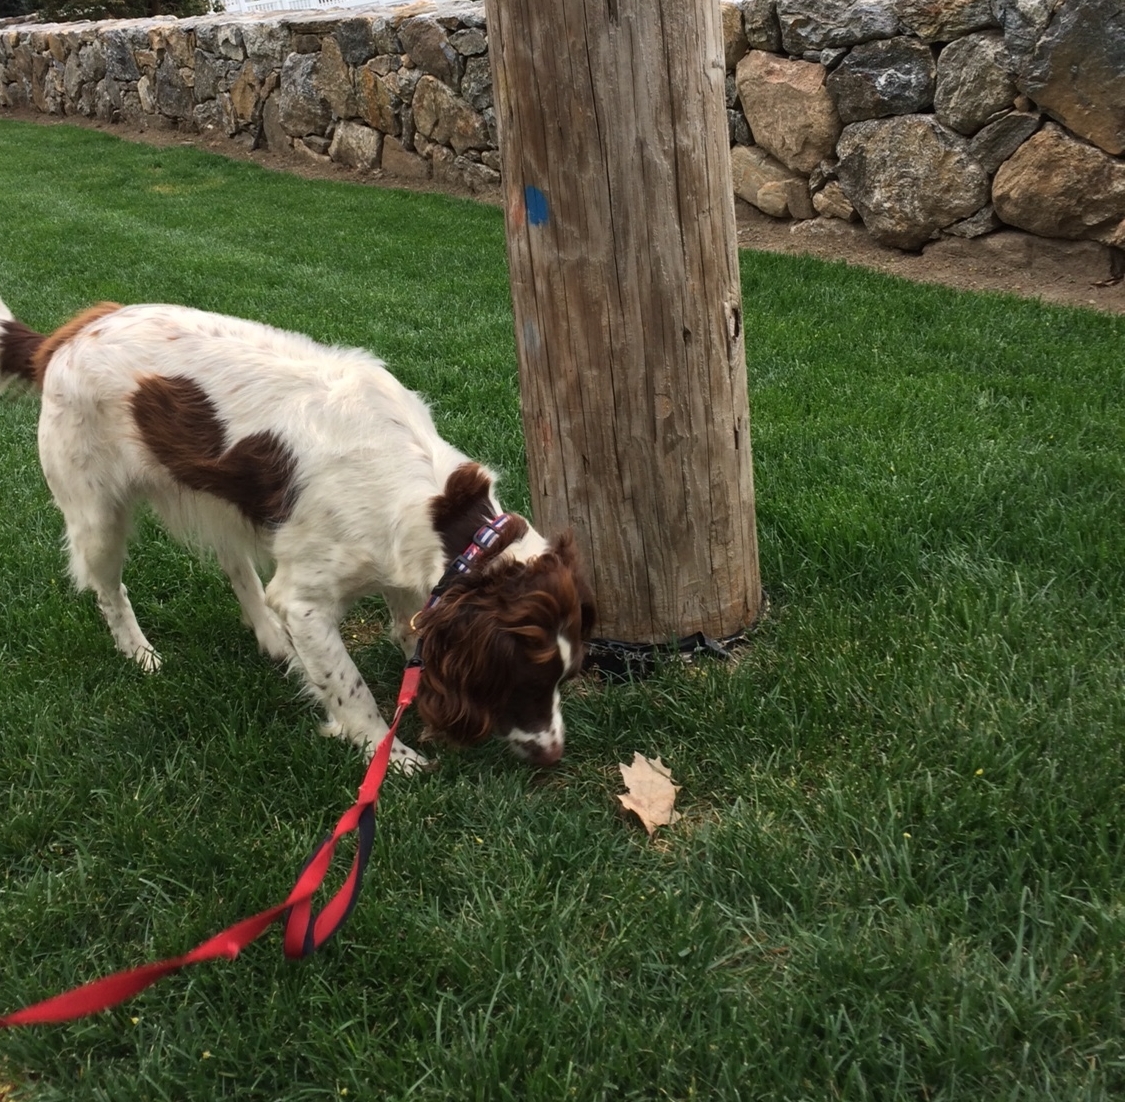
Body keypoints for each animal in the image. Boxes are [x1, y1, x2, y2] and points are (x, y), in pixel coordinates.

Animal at [0, 296, 594, 769]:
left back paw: (272, 640)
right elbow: (351, 690)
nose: (554, 754)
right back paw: (140, 653)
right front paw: (390, 756)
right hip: (96, 515)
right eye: (527, 679)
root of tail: (60, 340)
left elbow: (410, 635)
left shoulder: (412, 576)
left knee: (237, 568)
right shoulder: (306, 601)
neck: (435, 506)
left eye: (564, 678)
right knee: (109, 589)